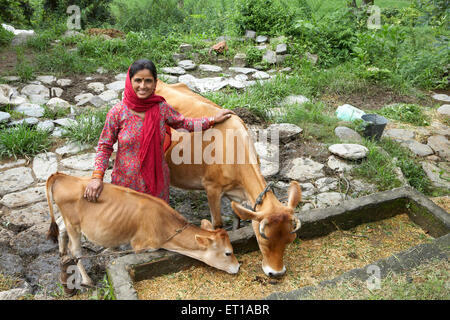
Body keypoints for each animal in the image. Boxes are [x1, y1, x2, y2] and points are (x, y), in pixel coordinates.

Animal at [46, 172, 239, 288]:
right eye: (228, 253)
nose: (238, 266)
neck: (163, 224)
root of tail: (61, 176)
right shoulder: (141, 246)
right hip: (74, 225)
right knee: (76, 250)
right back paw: (87, 280)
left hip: (69, 221)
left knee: (60, 228)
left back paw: (62, 252)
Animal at [156, 80, 300, 278]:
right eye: (263, 242)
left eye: (289, 240)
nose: (276, 273)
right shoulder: (212, 188)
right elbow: (218, 224)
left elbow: (237, 219)